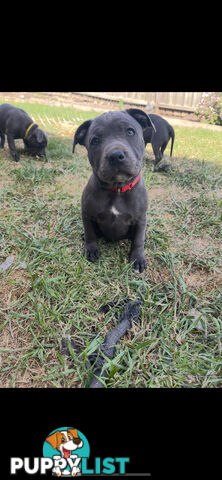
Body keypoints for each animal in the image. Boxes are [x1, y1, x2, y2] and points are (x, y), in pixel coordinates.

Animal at [72, 109, 155, 274]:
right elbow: (90, 233)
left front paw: (137, 259)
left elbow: (138, 240)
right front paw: (90, 250)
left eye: (130, 132)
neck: (117, 189)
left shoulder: (141, 218)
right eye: (95, 141)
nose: (115, 155)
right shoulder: (87, 213)